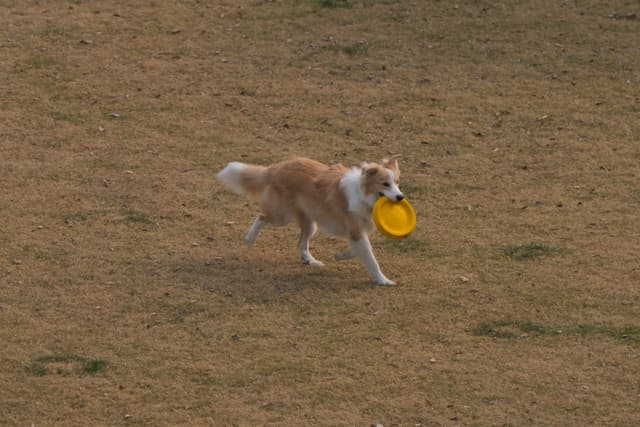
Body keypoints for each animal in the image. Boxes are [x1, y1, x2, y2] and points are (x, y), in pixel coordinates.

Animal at [216, 155, 404, 286]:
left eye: (397, 182)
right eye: (385, 184)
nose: (401, 197)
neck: (364, 195)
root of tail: (276, 168)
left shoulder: (358, 233)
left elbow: (355, 251)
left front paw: (340, 255)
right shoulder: (356, 232)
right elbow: (371, 260)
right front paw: (383, 280)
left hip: (310, 224)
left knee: (301, 243)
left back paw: (310, 260)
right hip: (281, 216)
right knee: (261, 217)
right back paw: (249, 238)